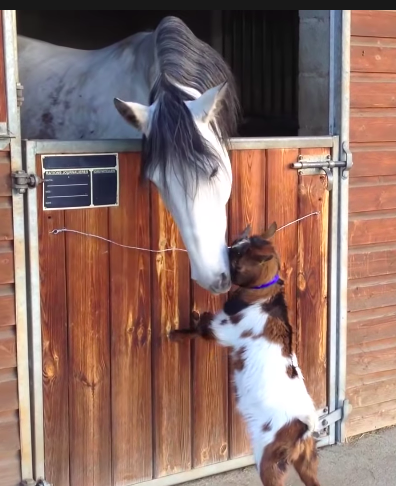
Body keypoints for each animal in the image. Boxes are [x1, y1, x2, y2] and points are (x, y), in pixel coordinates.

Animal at [171, 223, 322, 486]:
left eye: (237, 258)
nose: (224, 252)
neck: (263, 299)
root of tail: (304, 424)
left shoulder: (224, 329)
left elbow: (201, 330)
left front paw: (175, 334)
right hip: (307, 459)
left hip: (269, 457)